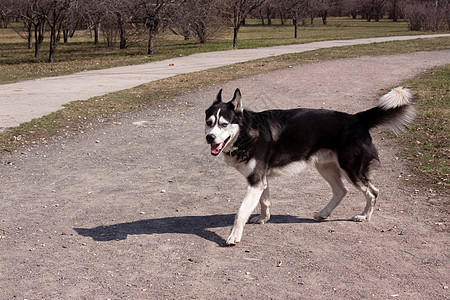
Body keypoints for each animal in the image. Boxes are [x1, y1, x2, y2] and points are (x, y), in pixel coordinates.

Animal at [206, 87, 416, 246]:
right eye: (209, 123)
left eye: (224, 124)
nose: (210, 137)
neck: (245, 134)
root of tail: (357, 118)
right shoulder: (260, 181)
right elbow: (265, 202)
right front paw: (264, 219)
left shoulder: (256, 181)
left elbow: (241, 212)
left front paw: (234, 236)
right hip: (326, 167)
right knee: (341, 190)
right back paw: (323, 213)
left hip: (351, 170)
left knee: (373, 192)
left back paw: (364, 216)